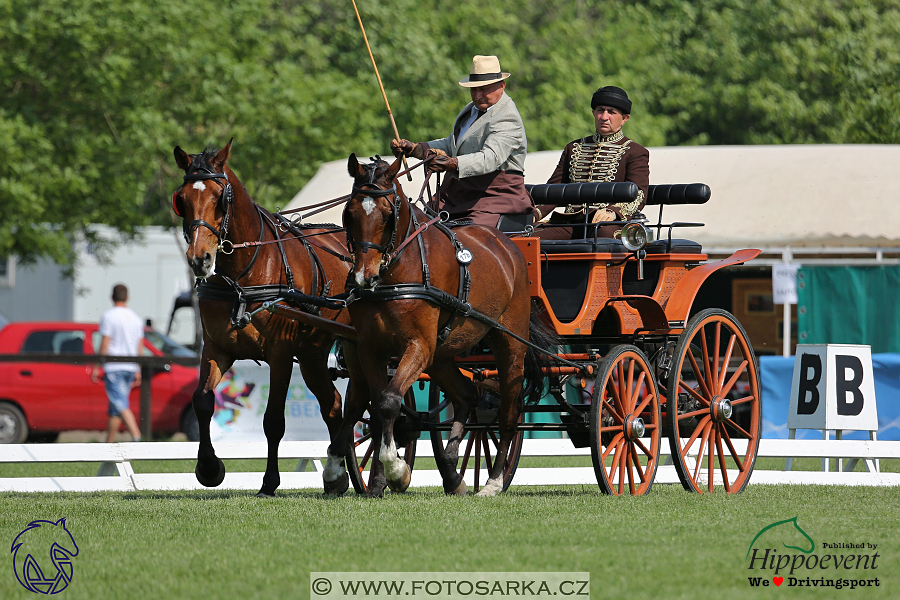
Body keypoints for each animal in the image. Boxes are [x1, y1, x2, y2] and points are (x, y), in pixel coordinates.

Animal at [172, 141, 358, 496]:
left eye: (221, 197)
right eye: (182, 199)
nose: (200, 260)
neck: (242, 276)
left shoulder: (281, 354)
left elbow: (273, 421)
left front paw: (269, 482)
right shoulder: (216, 348)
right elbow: (202, 401)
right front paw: (209, 468)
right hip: (313, 354)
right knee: (333, 406)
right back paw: (338, 476)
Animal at [334, 155, 552, 496]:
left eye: (388, 215)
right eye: (349, 213)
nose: (362, 278)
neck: (397, 272)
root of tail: (510, 247)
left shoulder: (418, 345)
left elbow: (388, 401)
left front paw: (397, 470)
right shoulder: (371, 348)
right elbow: (379, 404)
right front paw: (385, 475)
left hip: (511, 344)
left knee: (509, 410)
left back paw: (492, 481)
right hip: (442, 354)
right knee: (467, 395)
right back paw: (452, 469)